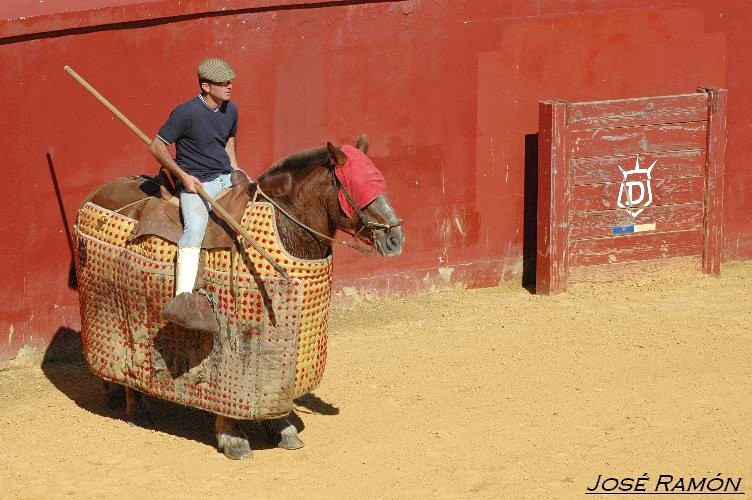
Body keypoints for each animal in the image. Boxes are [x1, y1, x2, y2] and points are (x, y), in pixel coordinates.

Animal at [81, 135, 406, 458]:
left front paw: (282, 428)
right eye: (358, 188)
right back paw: (138, 409)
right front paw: (233, 438)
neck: (284, 226)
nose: (396, 239)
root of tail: (97, 192)